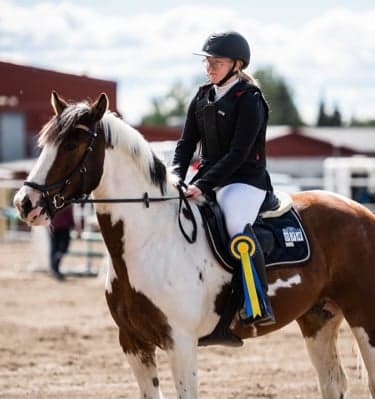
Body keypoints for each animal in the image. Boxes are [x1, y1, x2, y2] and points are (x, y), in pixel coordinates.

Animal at [13, 92, 375, 399]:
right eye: (46, 144)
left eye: (72, 144)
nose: (24, 203)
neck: (151, 241)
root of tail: (361, 211)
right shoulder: (133, 342)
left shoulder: (181, 343)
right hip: (318, 318)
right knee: (332, 382)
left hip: (363, 317)